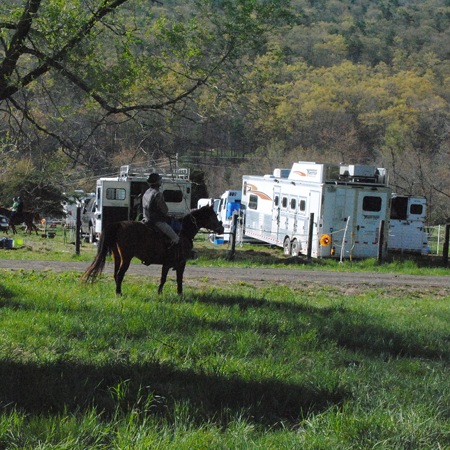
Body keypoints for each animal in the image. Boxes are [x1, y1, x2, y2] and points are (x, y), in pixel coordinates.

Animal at [81, 206, 225, 298]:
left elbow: (167, 278)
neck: (183, 232)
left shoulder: (169, 264)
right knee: (120, 275)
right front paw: (176, 294)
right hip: (126, 259)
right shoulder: (179, 263)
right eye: (213, 215)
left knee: (116, 275)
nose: (221, 228)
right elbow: (173, 279)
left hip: (117, 257)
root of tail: (119, 224)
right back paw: (119, 293)